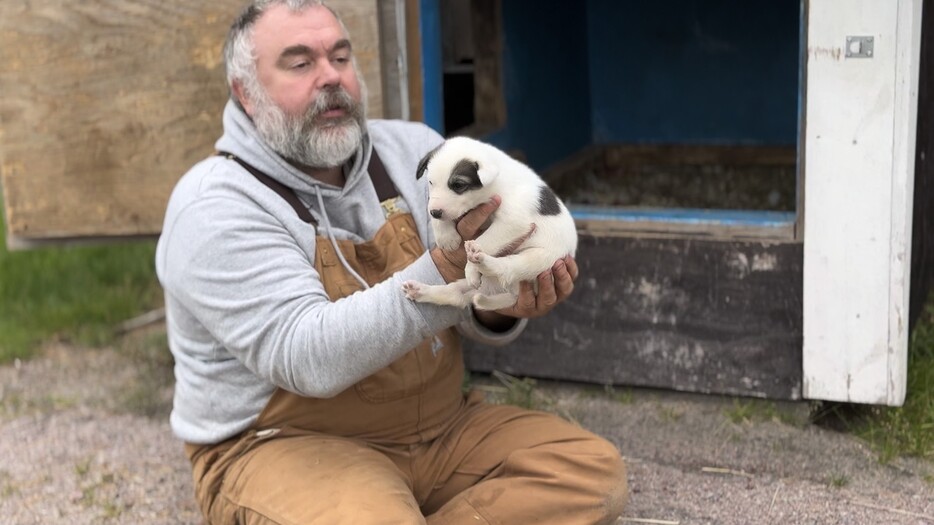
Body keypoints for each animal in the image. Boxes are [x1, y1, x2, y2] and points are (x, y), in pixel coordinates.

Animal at [402, 136, 576, 312]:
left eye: (458, 185)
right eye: (431, 182)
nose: (435, 213)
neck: (494, 184)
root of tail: (511, 293)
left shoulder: (513, 222)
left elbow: (485, 240)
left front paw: (471, 265)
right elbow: (435, 206)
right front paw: (446, 237)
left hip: (541, 260)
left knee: (508, 268)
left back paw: (480, 260)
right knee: (455, 295)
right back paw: (420, 290)